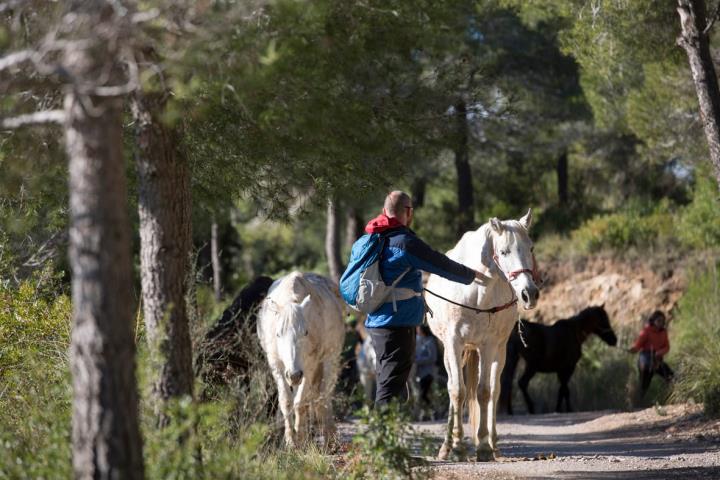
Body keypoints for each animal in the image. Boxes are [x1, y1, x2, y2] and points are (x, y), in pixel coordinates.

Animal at [256, 270, 346, 446]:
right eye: (278, 334)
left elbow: (300, 402)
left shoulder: (310, 367)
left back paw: (328, 435)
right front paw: (291, 441)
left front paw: (302, 438)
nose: (294, 374)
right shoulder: (277, 367)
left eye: (305, 332)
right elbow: (286, 401)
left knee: (323, 395)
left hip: (329, 360)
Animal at [424, 210, 536, 462]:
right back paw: (446, 446)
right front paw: (457, 448)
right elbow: (457, 391)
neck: (476, 293)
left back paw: (494, 446)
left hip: (499, 351)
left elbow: (484, 392)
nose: (529, 294)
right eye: (503, 251)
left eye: (531, 248)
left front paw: (483, 446)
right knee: (453, 388)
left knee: (495, 390)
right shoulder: (453, 343)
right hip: (452, 352)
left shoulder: (489, 345)